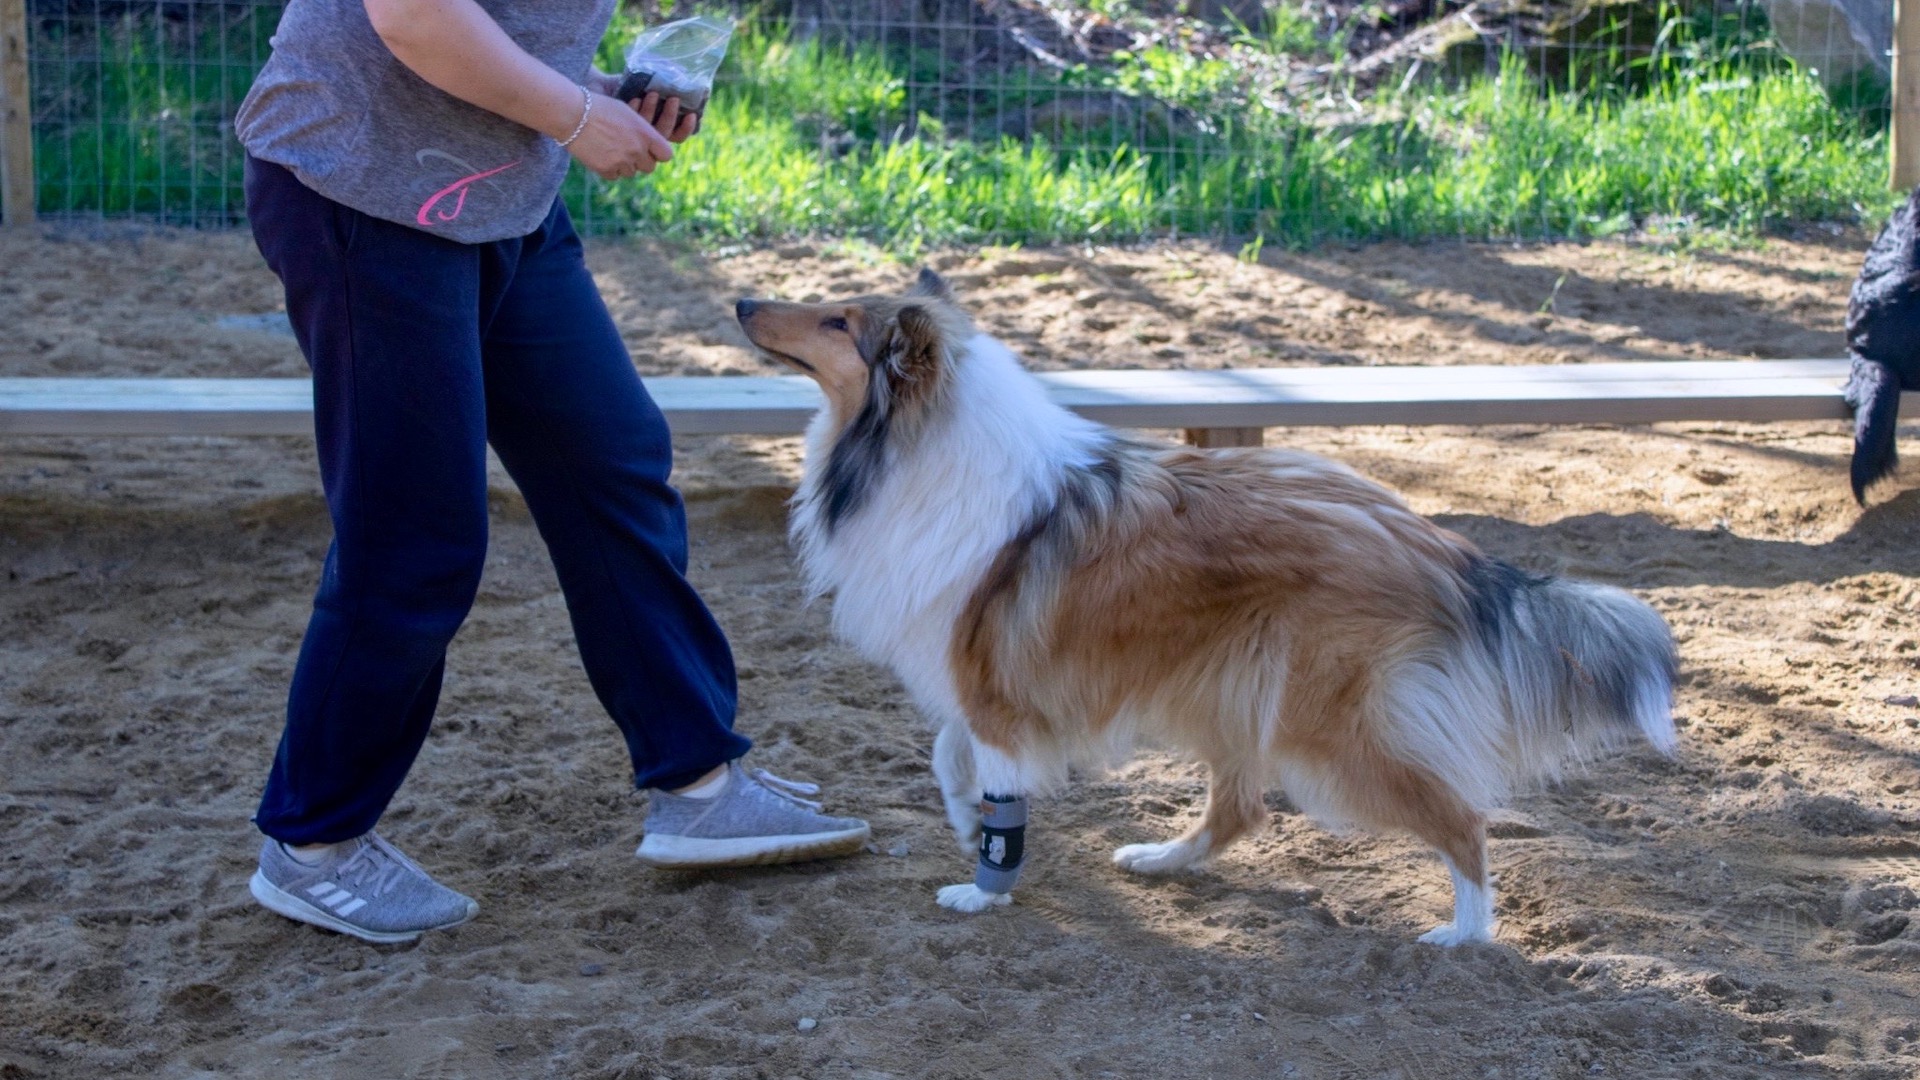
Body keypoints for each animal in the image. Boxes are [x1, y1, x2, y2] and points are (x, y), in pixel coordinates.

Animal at [741, 270, 1674, 941]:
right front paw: (971, 826)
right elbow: (946, 756)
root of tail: (1444, 549)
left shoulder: (993, 687)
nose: (745, 301)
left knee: (1463, 820)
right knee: (1242, 808)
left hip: (1333, 727)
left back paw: (1465, 934)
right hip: (1232, 693)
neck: (912, 447)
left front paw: (985, 887)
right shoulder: (978, 679)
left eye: (838, 322)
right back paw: (1161, 860)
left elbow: (996, 786)